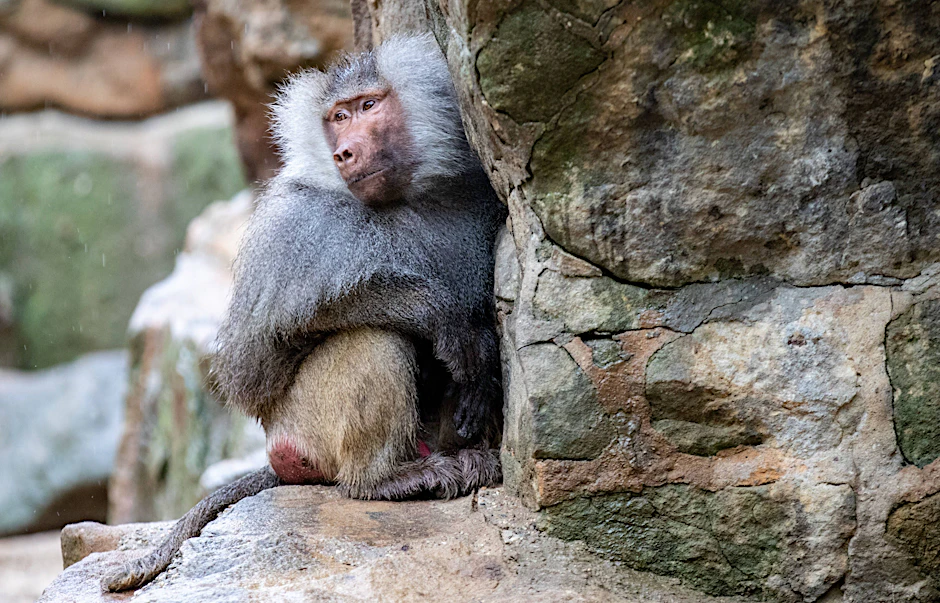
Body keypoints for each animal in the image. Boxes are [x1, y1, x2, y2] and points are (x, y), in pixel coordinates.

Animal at [102, 34, 505, 592]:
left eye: (368, 105)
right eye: (337, 116)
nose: (344, 151)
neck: (400, 201)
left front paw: (480, 368)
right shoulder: (295, 225)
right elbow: (251, 364)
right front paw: (446, 319)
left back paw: (466, 457)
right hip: (306, 425)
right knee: (373, 339)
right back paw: (385, 480)